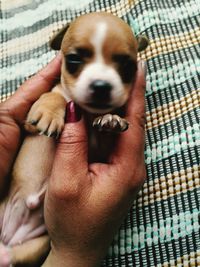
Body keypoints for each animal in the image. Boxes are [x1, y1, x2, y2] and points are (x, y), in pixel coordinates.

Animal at [0, 12, 148, 266]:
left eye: (127, 66)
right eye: (74, 60)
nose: (101, 86)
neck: (86, 113)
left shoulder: (100, 152)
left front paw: (110, 119)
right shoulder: (29, 122)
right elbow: (54, 96)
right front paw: (50, 113)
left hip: (31, 248)